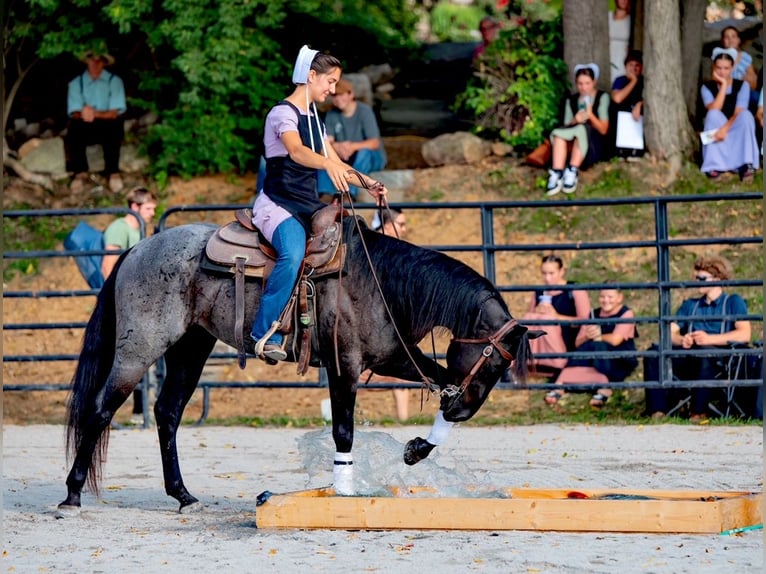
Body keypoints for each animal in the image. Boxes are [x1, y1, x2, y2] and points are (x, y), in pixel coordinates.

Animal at [58, 216, 536, 516]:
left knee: (168, 413)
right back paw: (72, 496)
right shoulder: (346, 365)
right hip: (140, 348)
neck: (379, 280)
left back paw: (183, 496)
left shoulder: (393, 356)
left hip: (191, 347)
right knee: (100, 410)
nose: (463, 411)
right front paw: (344, 490)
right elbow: (343, 430)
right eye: (492, 361)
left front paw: (418, 448)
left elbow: (437, 382)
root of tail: (139, 248)